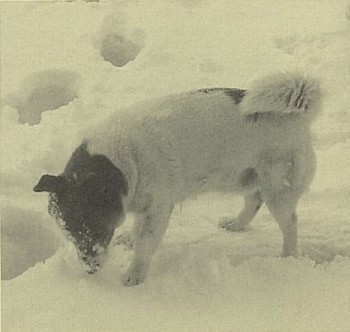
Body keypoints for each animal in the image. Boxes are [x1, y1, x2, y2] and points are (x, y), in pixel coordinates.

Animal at [34, 72, 322, 286]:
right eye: (69, 233)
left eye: (96, 229)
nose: (90, 270)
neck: (121, 159)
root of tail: (297, 116)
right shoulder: (142, 204)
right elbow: (137, 228)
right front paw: (129, 238)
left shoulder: (159, 208)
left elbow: (145, 244)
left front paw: (134, 275)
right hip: (248, 177)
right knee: (253, 202)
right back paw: (236, 224)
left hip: (278, 190)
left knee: (290, 224)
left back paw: (287, 257)